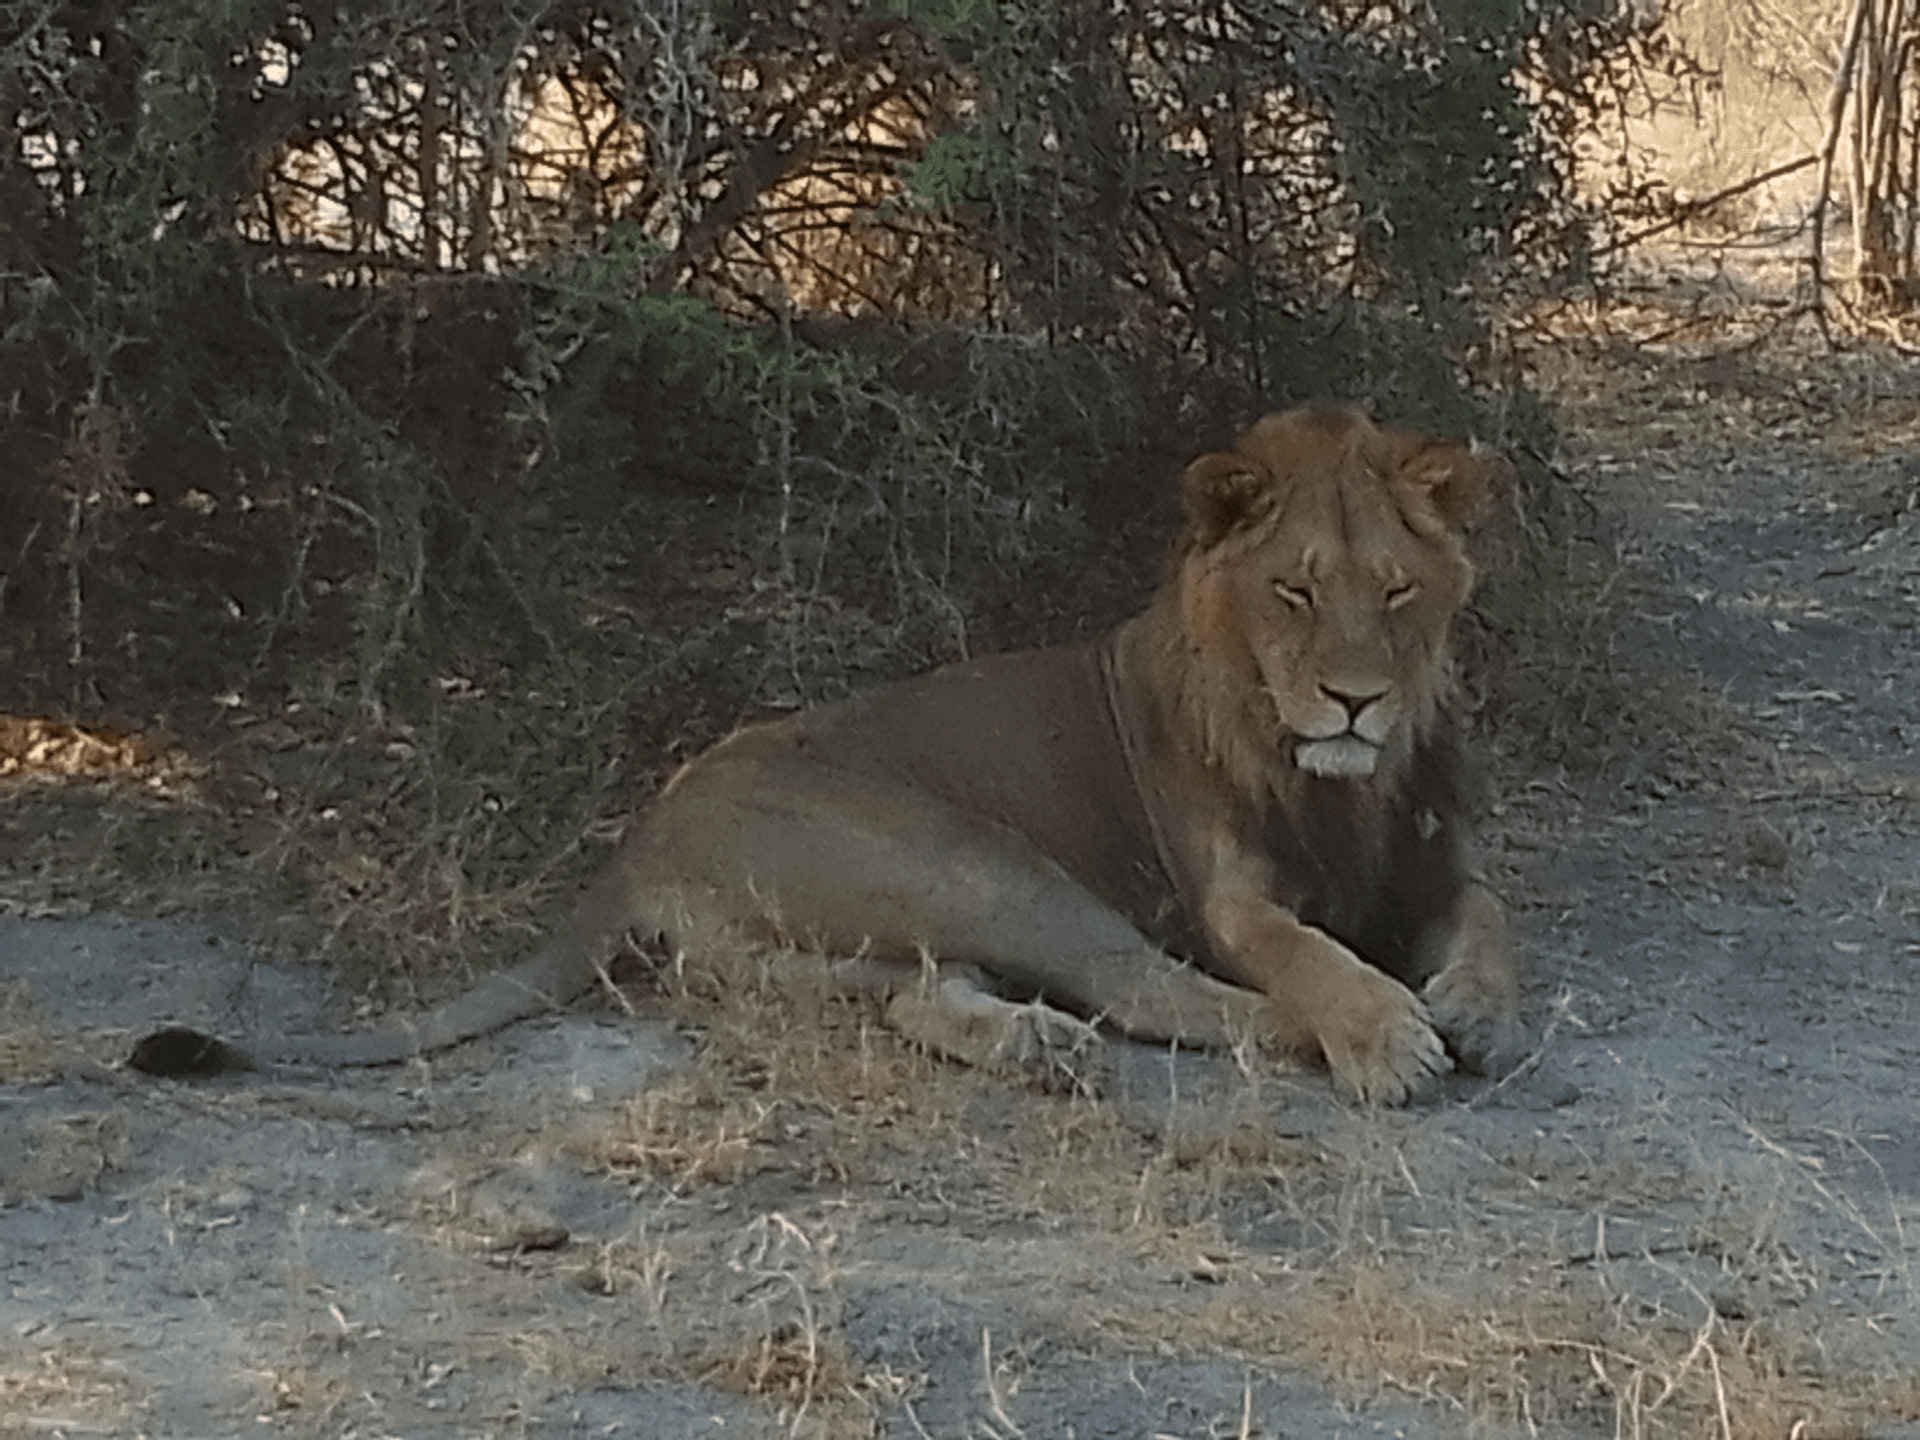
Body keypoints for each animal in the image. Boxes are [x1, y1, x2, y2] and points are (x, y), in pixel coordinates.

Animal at [133, 402, 1520, 1103]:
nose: (1356, 702)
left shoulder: (1434, 865)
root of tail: (641, 839)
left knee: (907, 992)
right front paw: (1388, 1032)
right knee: (1147, 991)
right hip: (974, 863)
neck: (1343, 785)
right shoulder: (1230, 899)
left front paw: (1472, 1004)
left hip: (795, 943)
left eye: (1397, 593)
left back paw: (1028, 1045)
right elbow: (1306, 957)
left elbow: (1490, 922)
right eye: (1294, 591)